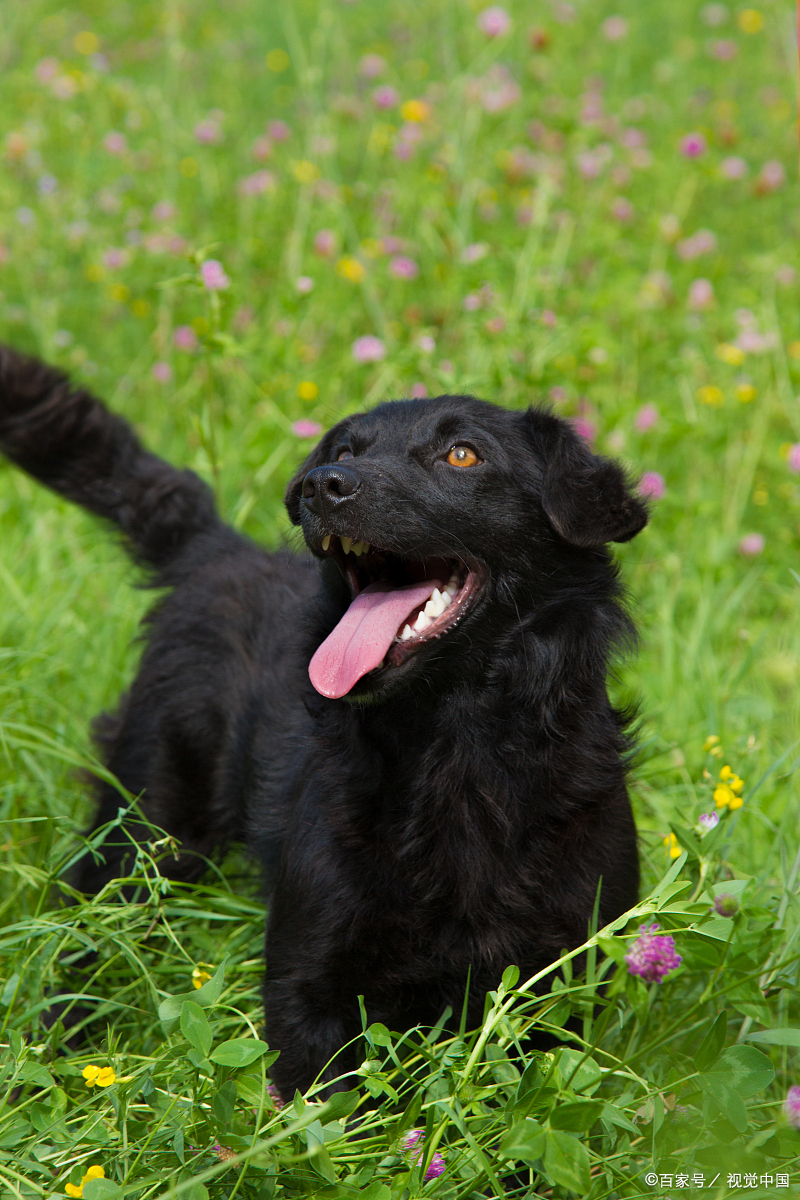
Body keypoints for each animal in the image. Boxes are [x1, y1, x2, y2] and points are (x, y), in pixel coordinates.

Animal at [0, 345, 642, 1099]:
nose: (323, 486)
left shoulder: (561, 985)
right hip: (138, 835)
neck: (454, 751)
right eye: (343, 449)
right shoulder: (309, 985)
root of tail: (218, 551)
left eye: (462, 454)